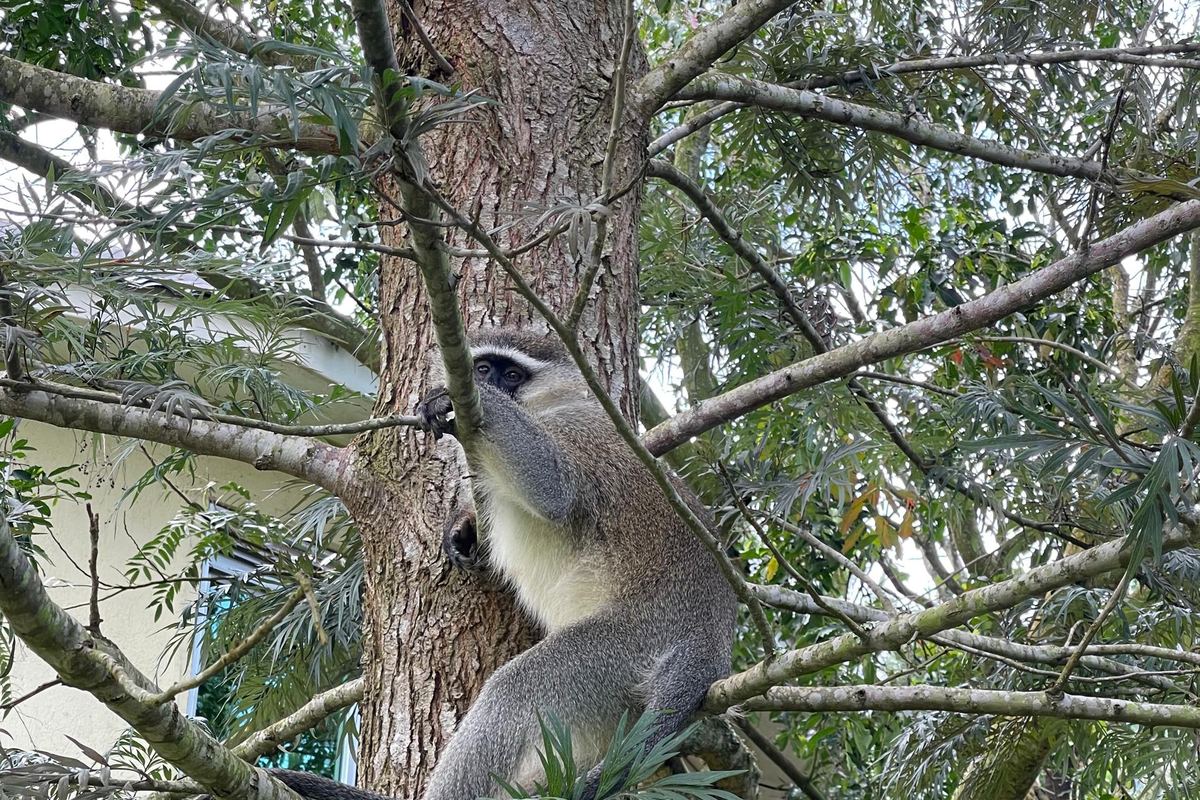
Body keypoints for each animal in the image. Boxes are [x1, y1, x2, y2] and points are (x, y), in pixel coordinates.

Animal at [270, 328, 737, 800]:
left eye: (512, 375)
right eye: (482, 368)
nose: (488, 384)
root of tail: (710, 638)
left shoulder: (581, 431)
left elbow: (553, 489)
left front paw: (458, 401)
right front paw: (463, 527)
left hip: (629, 643)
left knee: (516, 690)